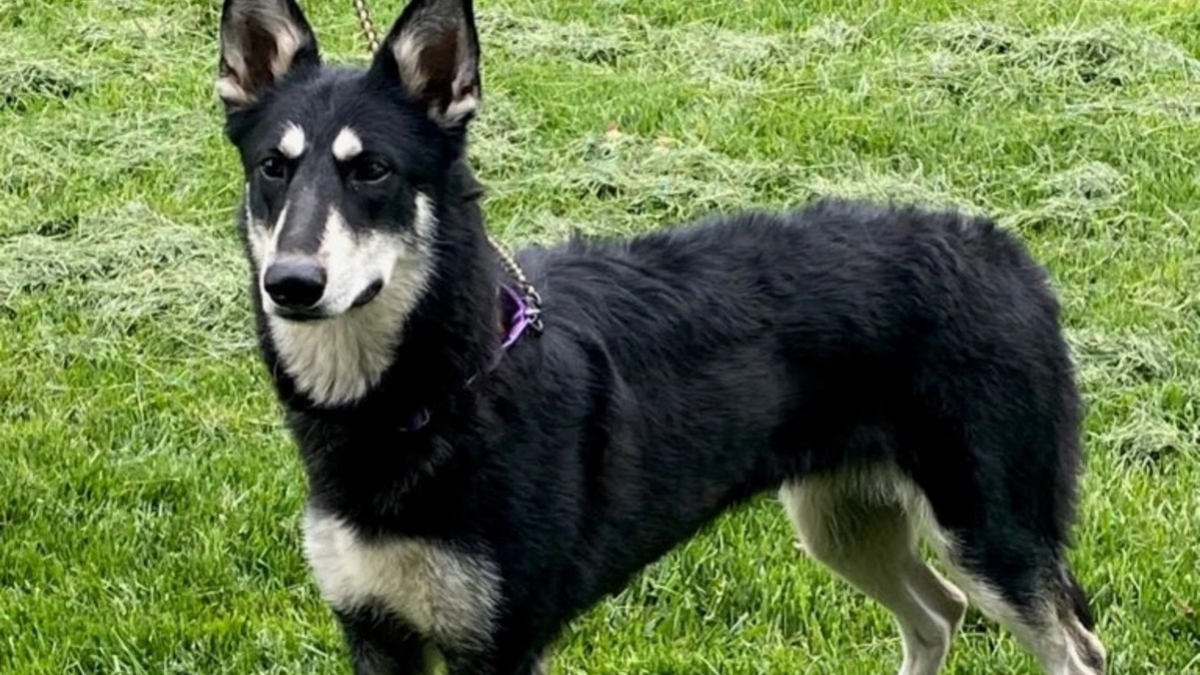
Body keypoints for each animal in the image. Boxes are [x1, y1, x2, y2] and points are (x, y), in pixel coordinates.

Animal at [213, 1, 1104, 672]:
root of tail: (1007, 250)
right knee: (937, 615)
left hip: (990, 528)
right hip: (843, 520)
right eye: (272, 169)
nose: (291, 283)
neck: (443, 386)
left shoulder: (498, 642)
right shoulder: (376, 628)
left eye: (373, 170)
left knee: (1073, 646)